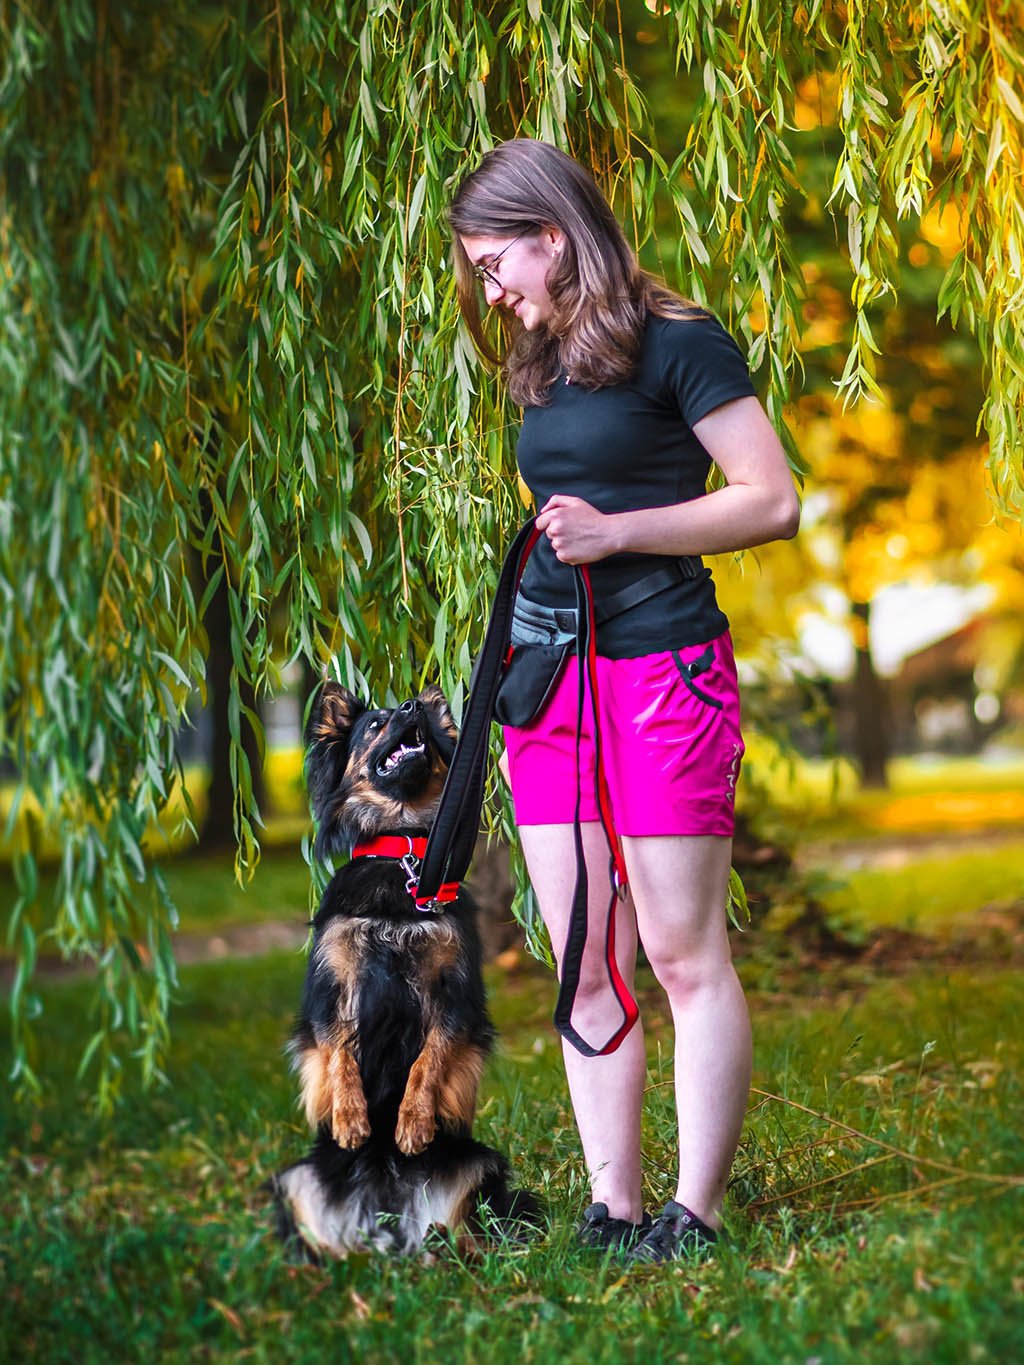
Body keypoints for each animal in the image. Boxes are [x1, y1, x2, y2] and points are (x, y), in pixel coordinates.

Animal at [273, 682, 546, 1255]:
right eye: (375, 724)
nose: (411, 707)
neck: (400, 848)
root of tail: (385, 1202)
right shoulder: (333, 987)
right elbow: (336, 1049)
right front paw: (351, 1117)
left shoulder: (453, 992)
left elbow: (431, 1056)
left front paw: (413, 1121)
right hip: (297, 1178)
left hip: (480, 1163)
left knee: (464, 1229)